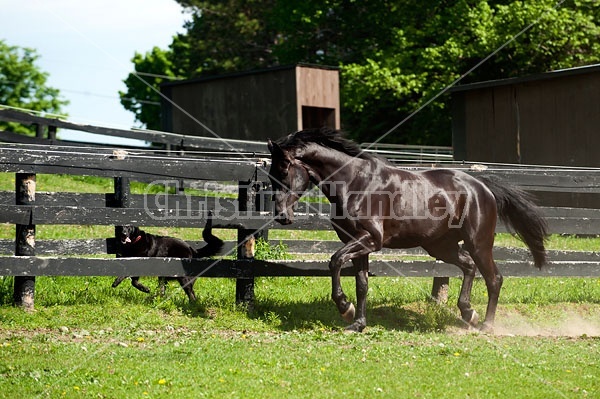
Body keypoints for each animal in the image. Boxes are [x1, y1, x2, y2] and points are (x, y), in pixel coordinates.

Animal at [268, 127, 548, 332]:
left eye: (284, 169)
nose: (281, 216)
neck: (355, 183)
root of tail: (482, 187)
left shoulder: (370, 239)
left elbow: (335, 261)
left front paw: (345, 308)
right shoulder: (358, 244)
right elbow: (362, 283)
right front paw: (357, 324)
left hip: (478, 243)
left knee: (494, 278)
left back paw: (487, 325)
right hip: (440, 246)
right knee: (469, 267)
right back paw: (469, 314)